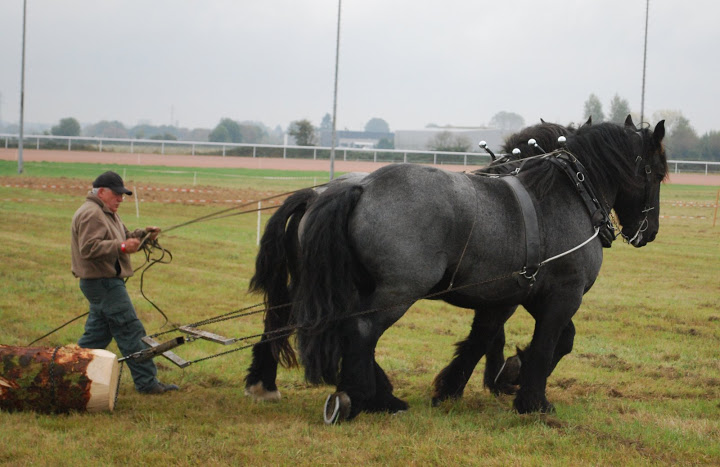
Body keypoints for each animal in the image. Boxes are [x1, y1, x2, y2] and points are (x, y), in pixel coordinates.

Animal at [245, 120, 584, 402]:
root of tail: (320, 194)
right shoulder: (511, 292)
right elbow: (498, 336)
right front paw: (503, 377)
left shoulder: (502, 293)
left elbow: (494, 335)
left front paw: (497, 377)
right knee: (354, 328)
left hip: (315, 281)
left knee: (282, 316)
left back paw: (264, 382)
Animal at [292, 117, 664, 424]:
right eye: (658, 173)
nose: (649, 232)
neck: (571, 194)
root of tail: (363, 186)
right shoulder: (563, 294)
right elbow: (546, 344)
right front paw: (532, 401)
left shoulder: (512, 294)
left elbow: (489, 338)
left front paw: (465, 385)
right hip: (398, 291)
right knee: (362, 331)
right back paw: (366, 399)